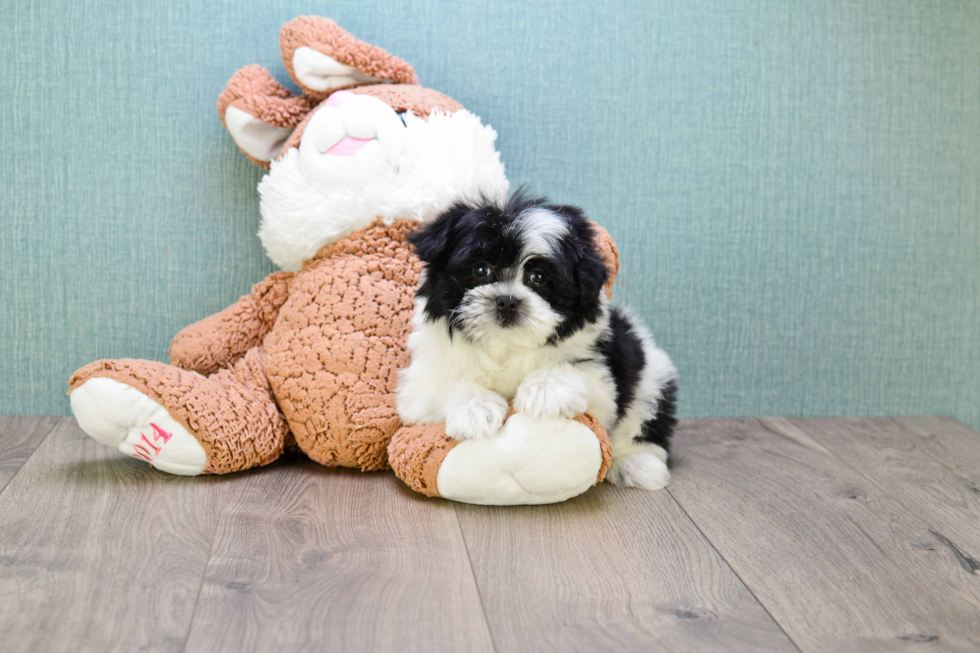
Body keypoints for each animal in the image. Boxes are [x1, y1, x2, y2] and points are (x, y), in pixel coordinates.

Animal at [394, 191, 676, 486]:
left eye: (538, 277)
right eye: (481, 270)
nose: (507, 300)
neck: (505, 345)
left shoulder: (601, 380)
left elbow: (579, 374)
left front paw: (544, 389)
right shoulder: (421, 383)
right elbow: (443, 387)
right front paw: (476, 408)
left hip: (652, 376)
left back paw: (636, 463)